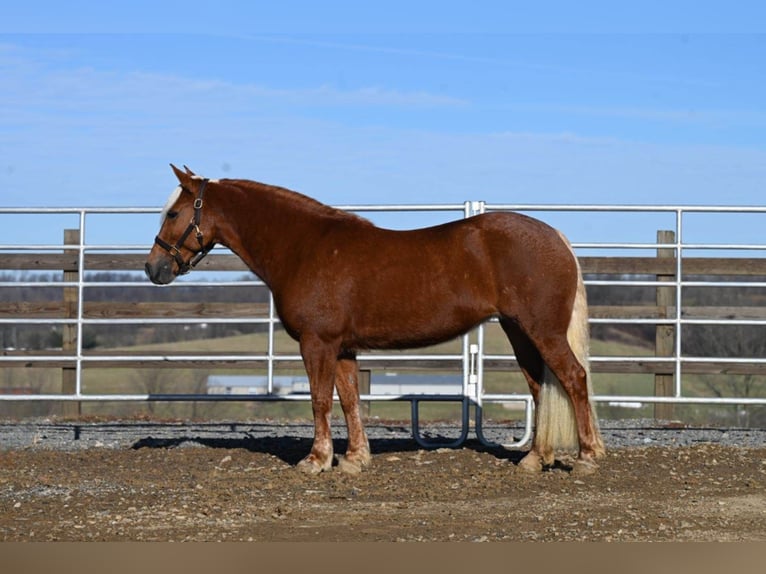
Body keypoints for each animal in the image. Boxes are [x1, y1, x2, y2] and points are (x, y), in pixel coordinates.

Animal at [146, 166, 608, 476]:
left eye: (173, 214)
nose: (153, 268)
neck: (304, 247)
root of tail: (556, 237)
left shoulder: (317, 343)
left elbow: (319, 400)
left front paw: (316, 461)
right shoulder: (343, 347)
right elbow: (350, 399)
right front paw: (354, 459)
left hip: (541, 330)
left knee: (573, 378)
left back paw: (587, 457)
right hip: (519, 331)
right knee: (540, 386)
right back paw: (534, 459)